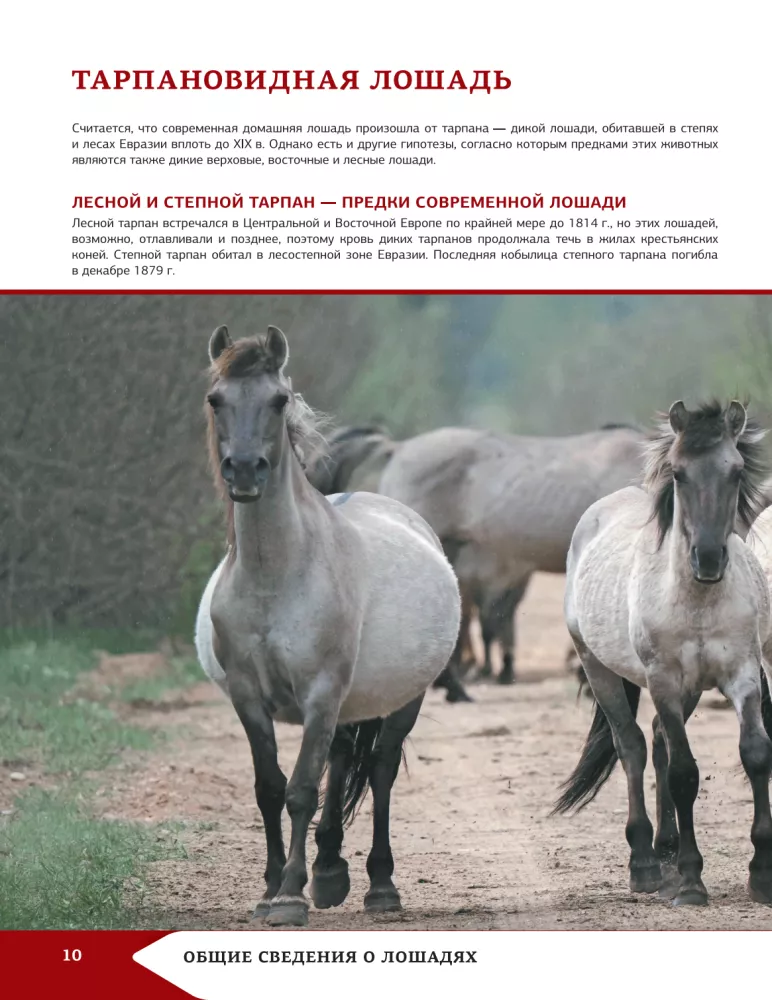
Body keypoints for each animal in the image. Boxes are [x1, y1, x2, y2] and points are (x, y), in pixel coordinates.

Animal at [193, 325, 461, 927]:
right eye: (216, 399)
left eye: (278, 400)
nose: (244, 471)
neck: (276, 575)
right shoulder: (248, 696)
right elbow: (269, 788)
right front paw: (271, 888)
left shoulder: (319, 693)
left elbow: (300, 791)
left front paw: (291, 896)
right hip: (349, 703)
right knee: (341, 759)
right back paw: (331, 871)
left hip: (401, 698)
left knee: (379, 769)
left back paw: (380, 885)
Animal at [554, 400, 772, 907]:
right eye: (678, 473)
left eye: (735, 471)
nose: (708, 559)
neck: (698, 600)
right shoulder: (665, 682)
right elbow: (684, 773)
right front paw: (692, 882)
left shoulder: (743, 675)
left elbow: (755, 754)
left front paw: (762, 875)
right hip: (599, 669)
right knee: (632, 745)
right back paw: (647, 864)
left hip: (688, 690)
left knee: (655, 742)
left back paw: (666, 853)